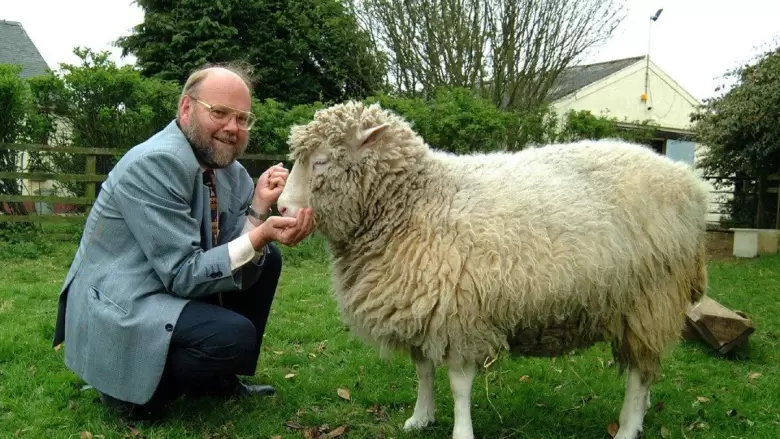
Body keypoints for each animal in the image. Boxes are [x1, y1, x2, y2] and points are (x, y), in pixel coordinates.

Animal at [276, 100, 711, 439]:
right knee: (646, 366)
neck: (416, 201)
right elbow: (423, 370)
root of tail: (690, 184)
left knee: (639, 372)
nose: (280, 207)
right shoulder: (420, 305)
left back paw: (628, 425)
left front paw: (460, 430)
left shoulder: (457, 311)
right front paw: (421, 417)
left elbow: (459, 385)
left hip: (649, 296)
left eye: (321, 161)